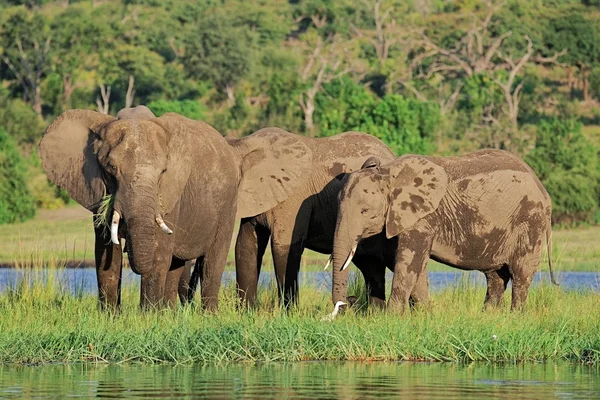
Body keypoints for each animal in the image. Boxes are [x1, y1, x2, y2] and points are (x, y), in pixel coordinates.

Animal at [38, 106, 310, 310]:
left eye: (163, 171)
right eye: (110, 168)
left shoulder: (172, 193)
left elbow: (159, 252)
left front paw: (147, 319)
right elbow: (105, 252)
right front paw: (111, 319)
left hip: (227, 203)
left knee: (213, 259)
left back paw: (206, 315)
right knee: (176, 264)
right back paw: (169, 314)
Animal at [328, 148, 556, 314]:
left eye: (364, 211)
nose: (348, 303)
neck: (389, 174)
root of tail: (543, 189)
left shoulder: (423, 217)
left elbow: (409, 262)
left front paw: (391, 317)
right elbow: (414, 265)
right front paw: (426, 313)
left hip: (530, 220)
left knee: (520, 274)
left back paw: (515, 316)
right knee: (495, 276)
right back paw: (488, 315)